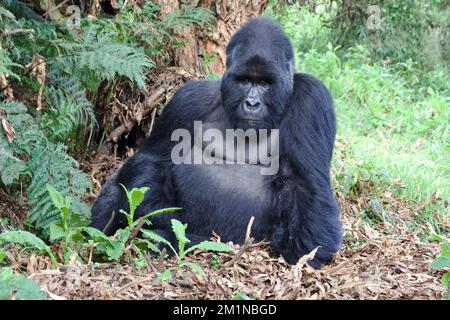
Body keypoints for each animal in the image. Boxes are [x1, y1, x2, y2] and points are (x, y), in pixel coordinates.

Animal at [91, 16, 342, 268]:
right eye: (244, 81)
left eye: (264, 83)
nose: (252, 104)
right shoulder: (189, 98)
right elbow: (152, 159)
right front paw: (159, 216)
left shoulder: (311, 98)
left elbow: (304, 187)